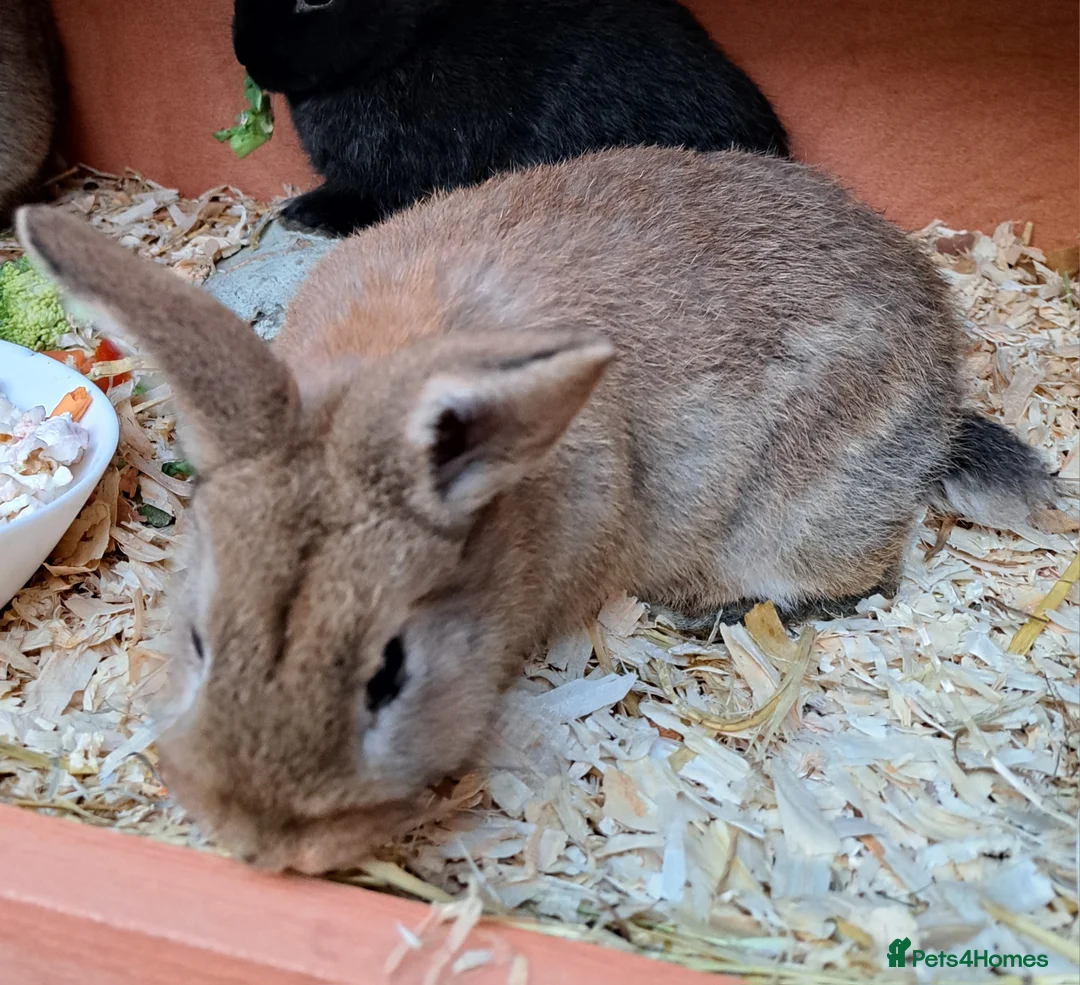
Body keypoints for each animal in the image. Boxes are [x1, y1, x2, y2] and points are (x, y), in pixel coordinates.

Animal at [16, 146, 1055, 876]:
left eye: (391, 673)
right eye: (197, 641)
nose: (264, 845)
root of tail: (943, 388)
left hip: (806, 517)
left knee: (869, 578)